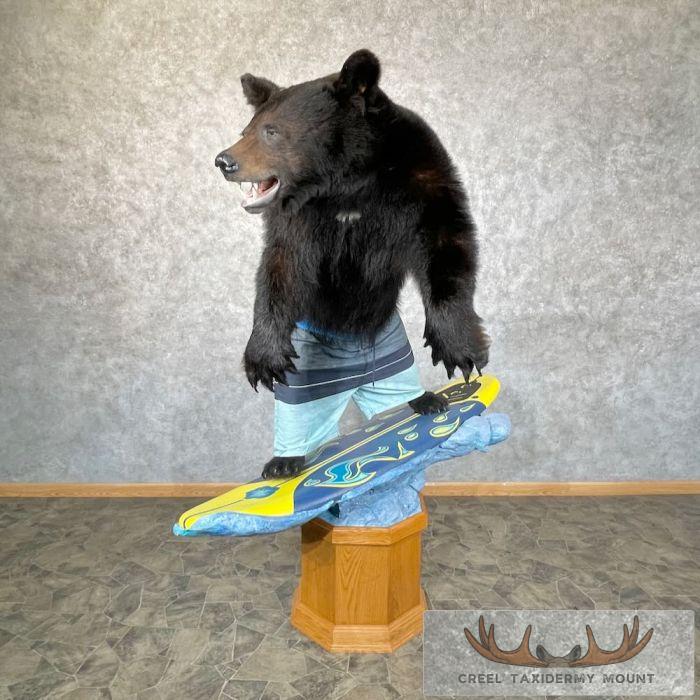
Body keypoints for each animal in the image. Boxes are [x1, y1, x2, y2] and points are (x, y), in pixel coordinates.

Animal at [215, 50, 490, 479]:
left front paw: (459, 350)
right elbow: (280, 269)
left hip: (393, 355)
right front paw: (263, 358)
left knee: (398, 382)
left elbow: (447, 245)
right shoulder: (298, 221)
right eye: (247, 129)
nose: (223, 160)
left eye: (271, 132)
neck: (347, 183)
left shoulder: (421, 177)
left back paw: (426, 400)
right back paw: (282, 462)